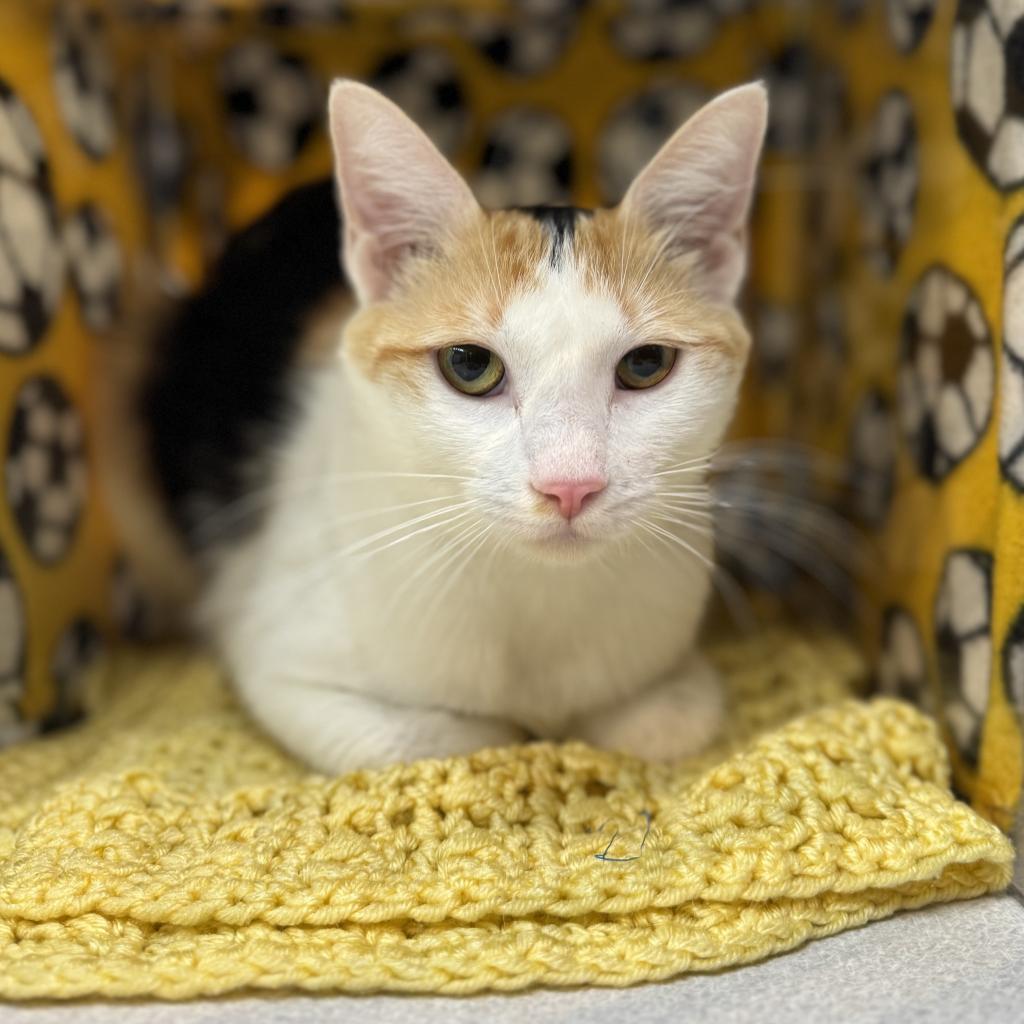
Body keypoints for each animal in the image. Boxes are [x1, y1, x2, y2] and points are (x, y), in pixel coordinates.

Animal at [112, 79, 770, 770]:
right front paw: (511, 733)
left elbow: (666, 721)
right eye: (470, 365)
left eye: (646, 365)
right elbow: (435, 738)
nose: (570, 486)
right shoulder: (276, 654)